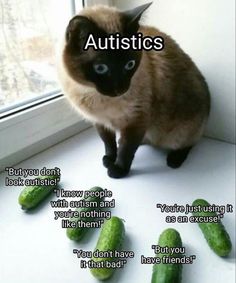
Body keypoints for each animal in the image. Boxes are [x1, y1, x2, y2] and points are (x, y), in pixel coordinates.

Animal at [57, 2, 210, 179]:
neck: (94, 95)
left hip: (180, 131)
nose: (120, 89)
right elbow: (108, 143)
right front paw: (110, 158)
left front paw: (117, 170)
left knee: (189, 143)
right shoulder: (100, 122)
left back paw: (174, 160)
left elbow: (127, 149)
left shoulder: (136, 120)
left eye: (129, 65)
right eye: (101, 68)